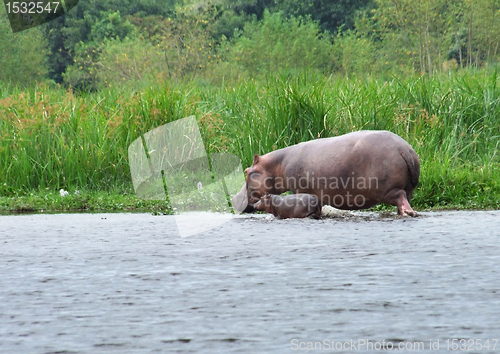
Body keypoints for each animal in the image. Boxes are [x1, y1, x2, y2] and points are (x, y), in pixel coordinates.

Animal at [232, 130, 420, 216]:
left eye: (247, 171)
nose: (233, 198)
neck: (276, 165)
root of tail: (404, 149)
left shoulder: (299, 190)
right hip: (409, 188)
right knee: (406, 198)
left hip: (389, 190)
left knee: (401, 199)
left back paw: (408, 213)